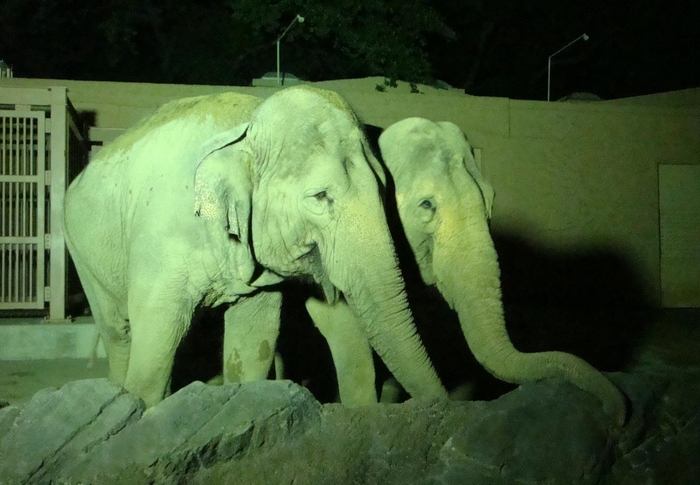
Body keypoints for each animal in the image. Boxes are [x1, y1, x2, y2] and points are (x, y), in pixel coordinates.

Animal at [67, 89, 448, 406]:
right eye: (320, 197)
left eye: (384, 189)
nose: (445, 405)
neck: (249, 125)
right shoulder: (162, 240)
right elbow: (155, 343)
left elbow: (253, 344)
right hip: (83, 254)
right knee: (119, 333)